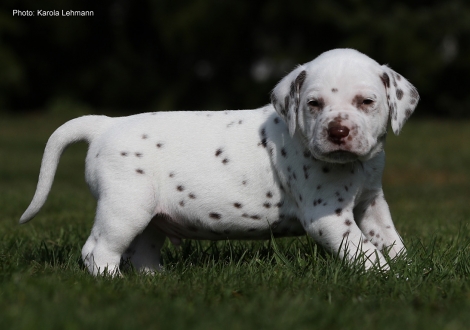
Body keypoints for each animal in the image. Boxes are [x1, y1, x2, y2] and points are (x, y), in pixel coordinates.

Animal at [21, 49, 418, 276]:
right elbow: (365, 253)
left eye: (366, 102)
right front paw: (389, 277)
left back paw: (156, 283)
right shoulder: (329, 217)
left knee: (142, 253)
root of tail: (105, 124)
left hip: (148, 215)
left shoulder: (370, 203)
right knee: (98, 251)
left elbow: (388, 239)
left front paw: (409, 270)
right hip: (124, 208)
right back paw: (113, 283)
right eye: (314, 104)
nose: (337, 132)